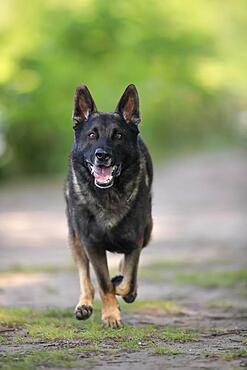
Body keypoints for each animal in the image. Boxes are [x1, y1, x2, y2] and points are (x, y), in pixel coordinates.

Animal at [65, 84, 153, 326]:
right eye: (92, 135)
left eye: (118, 135)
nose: (102, 155)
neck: (108, 195)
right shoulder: (92, 244)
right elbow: (103, 283)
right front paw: (111, 315)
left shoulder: (135, 240)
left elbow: (128, 281)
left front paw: (121, 289)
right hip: (75, 238)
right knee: (85, 276)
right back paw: (84, 304)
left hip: (148, 231)